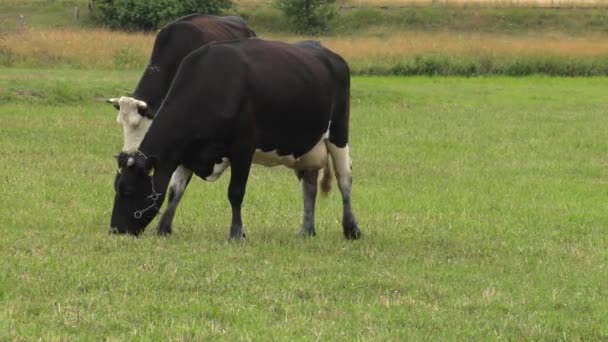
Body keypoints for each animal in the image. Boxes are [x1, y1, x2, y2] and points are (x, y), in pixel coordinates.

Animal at [108, 38, 360, 240]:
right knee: (309, 185)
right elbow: (175, 191)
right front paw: (164, 228)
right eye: (116, 187)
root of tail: (327, 52)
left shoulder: (243, 148)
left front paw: (237, 233)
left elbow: (235, 192)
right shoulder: (186, 152)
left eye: (128, 190)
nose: (115, 230)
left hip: (339, 135)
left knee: (344, 179)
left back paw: (351, 229)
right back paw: (306, 230)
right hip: (306, 148)